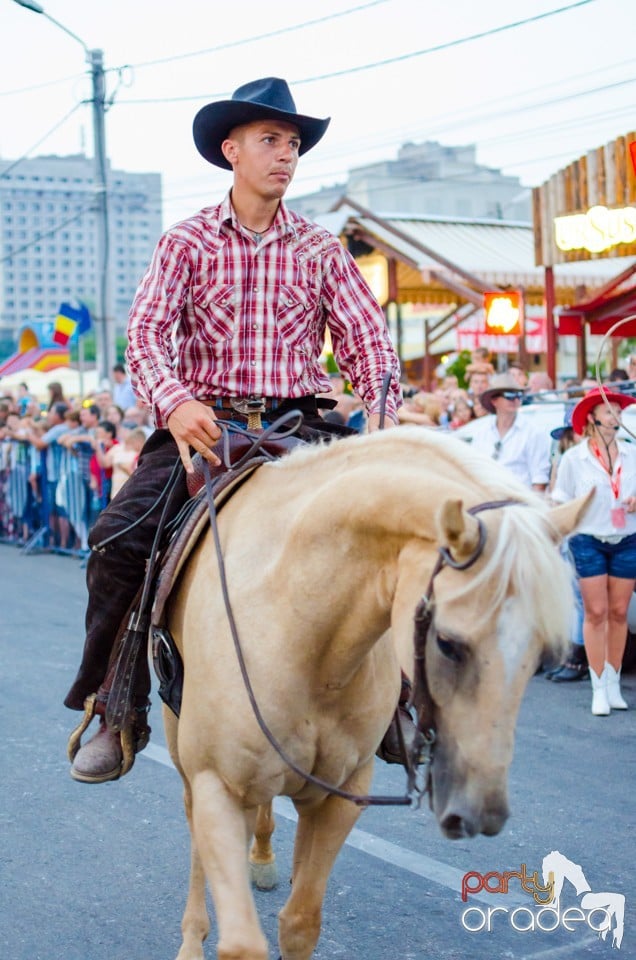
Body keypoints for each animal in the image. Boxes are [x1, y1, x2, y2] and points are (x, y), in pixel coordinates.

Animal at [164, 430, 592, 960]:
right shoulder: (219, 786)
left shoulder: (340, 795)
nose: (480, 813)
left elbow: (300, 923)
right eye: (447, 643)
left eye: (540, 653)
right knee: (193, 829)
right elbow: (241, 940)